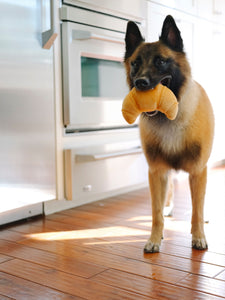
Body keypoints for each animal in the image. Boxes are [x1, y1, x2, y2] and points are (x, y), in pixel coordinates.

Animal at [125, 15, 214, 252]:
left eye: (160, 61)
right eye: (135, 63)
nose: (140, 83)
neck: (170, 118)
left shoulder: (198, 172)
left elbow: (197, 210)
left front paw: (198, 236)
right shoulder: (157, 172)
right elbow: (155, 212)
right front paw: (155, 238)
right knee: (171, 190)